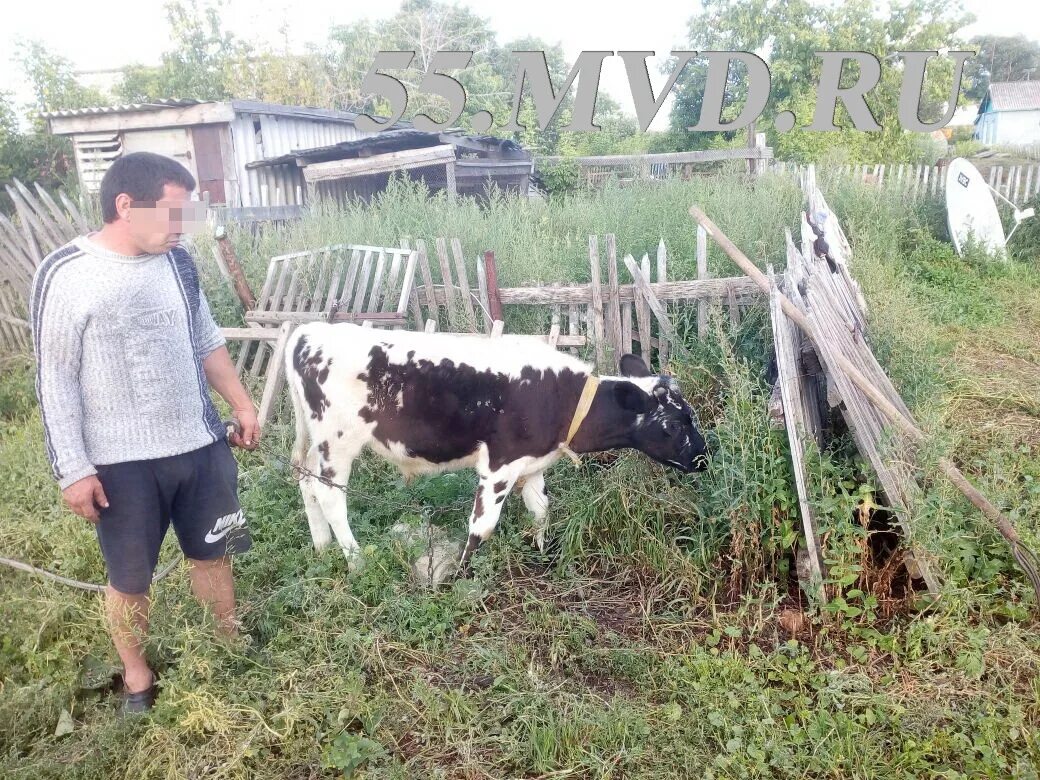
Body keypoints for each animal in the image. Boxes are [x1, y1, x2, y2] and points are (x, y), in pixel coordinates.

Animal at [284, 322, 707, 569]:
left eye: (691, 415)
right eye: (672, 423)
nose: (704, 457)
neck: (560, 397)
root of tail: (309, 330)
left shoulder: (534, 463)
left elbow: (541, 511)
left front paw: (541, 554)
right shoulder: (500, 464)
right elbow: (482, 526)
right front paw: (461, 574)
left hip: (315, 442)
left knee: (305, 481)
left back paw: (322, 546)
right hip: (337, 441)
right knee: (329, 494)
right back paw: (355, 559)